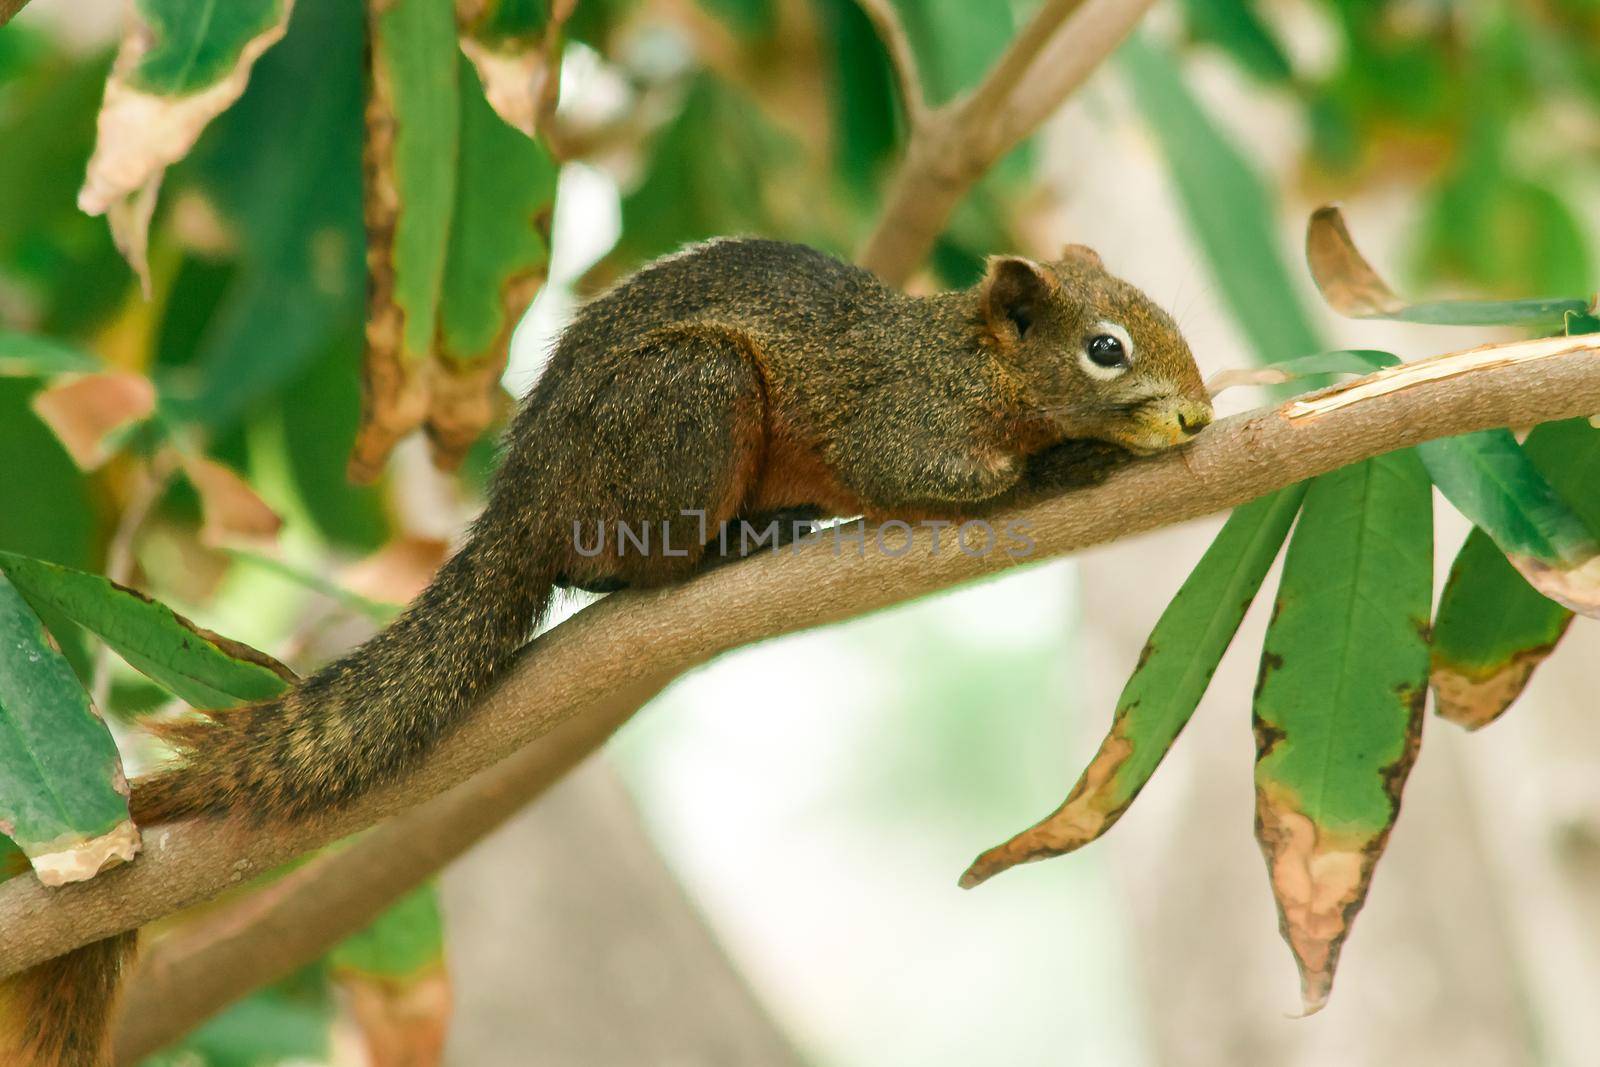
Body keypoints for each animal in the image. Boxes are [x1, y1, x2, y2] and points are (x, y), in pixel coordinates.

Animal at [3, 238, 1209, 1062]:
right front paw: (1086, 456)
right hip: (686, 405)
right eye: (1104, 349)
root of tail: (521, 508)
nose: (1197, 417)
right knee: (626, 570)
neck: (971, 361)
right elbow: (940, 478)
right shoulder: (902, 422)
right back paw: (734, 544)